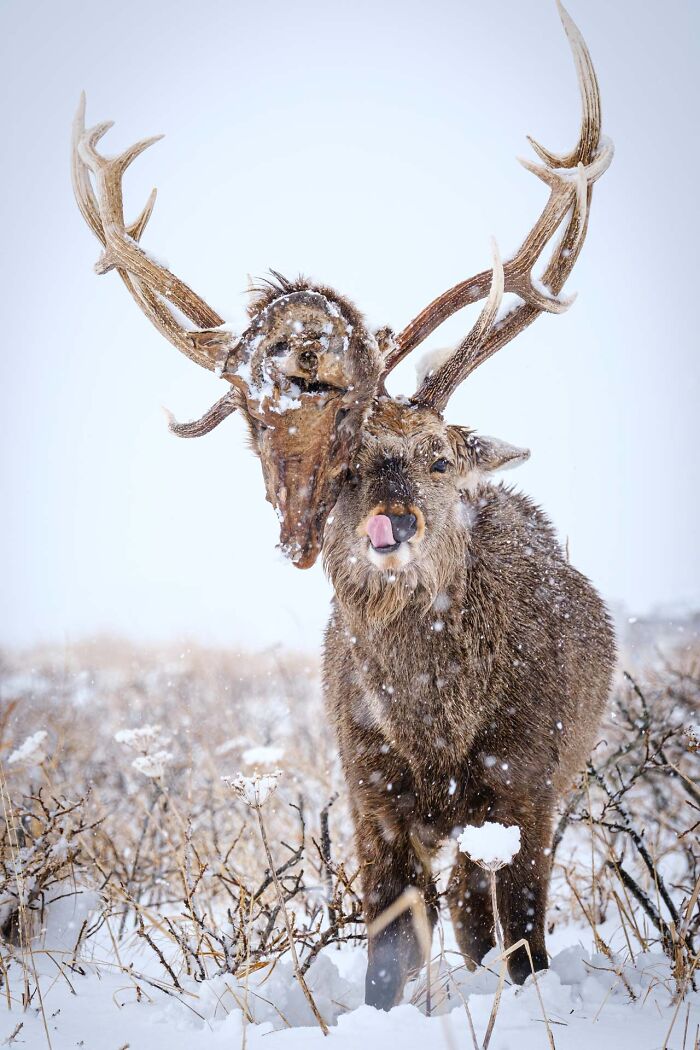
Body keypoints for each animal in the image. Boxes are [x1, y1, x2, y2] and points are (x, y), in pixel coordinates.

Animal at [72, 1, 614, 1012]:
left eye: (438, 457)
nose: (390, 523)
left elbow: (528, 946)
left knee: (488, 921)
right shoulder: (368, 791)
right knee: (465, 920)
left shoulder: (528, 781)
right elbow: (387, 963)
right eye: (350, 464)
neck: (438, 730)